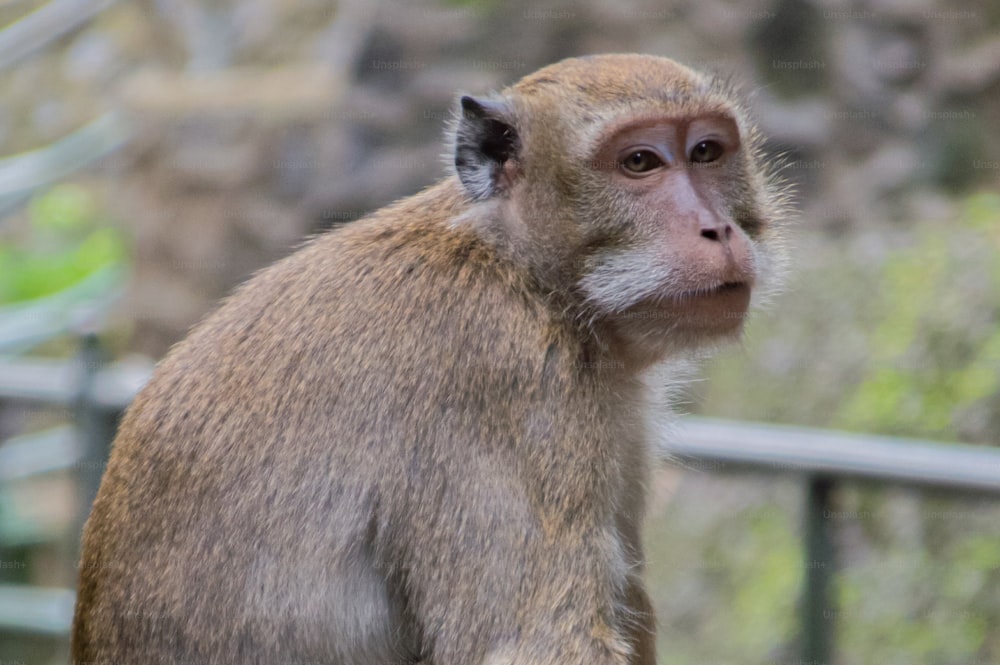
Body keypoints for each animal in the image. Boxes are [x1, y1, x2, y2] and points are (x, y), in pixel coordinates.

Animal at [72, 53, 788, 664]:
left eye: (705, 152)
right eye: (640, 161)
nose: (717, 229)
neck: (521, 271)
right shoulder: (511, 382)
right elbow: (534, 646)